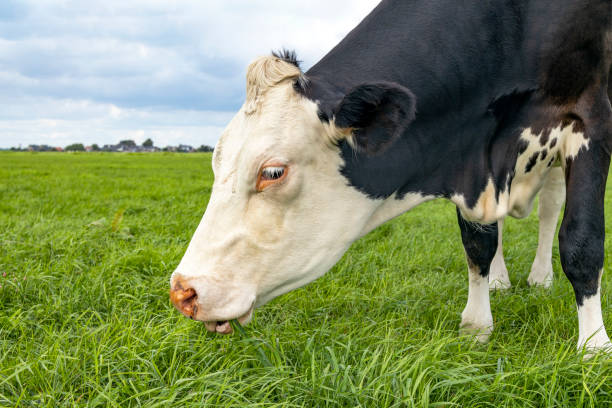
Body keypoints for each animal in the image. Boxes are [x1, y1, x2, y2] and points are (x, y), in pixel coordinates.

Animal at [169, 0, 612, 352]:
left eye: (273, 172)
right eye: (216, 163)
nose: (183, 292)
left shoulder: (590, 118)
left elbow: (581, 242)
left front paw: (592, 347)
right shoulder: (464, 151)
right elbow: (477, 244)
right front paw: (477, 327)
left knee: (550, 211)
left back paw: (540, 277)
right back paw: (503, 279)